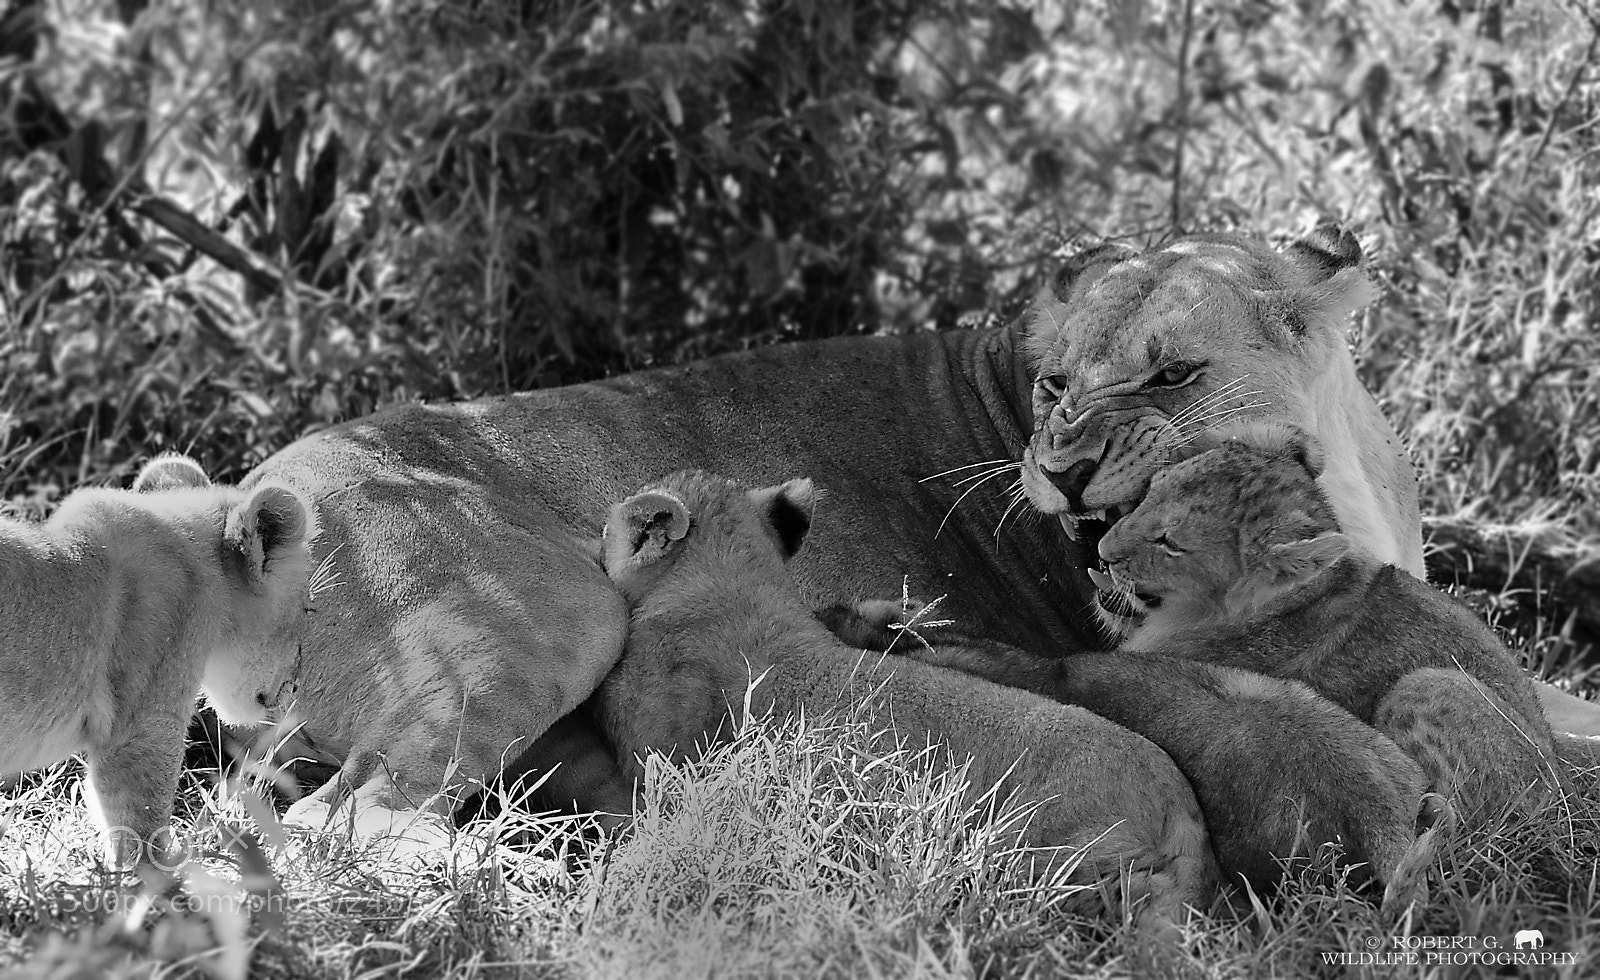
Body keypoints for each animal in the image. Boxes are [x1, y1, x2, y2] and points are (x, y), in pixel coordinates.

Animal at [236, 224, 1596, 835]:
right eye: (1054, 384)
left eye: (1170, 377)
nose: (1065, 472)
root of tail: (251, 501)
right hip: (545, 616)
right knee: (342, 823)